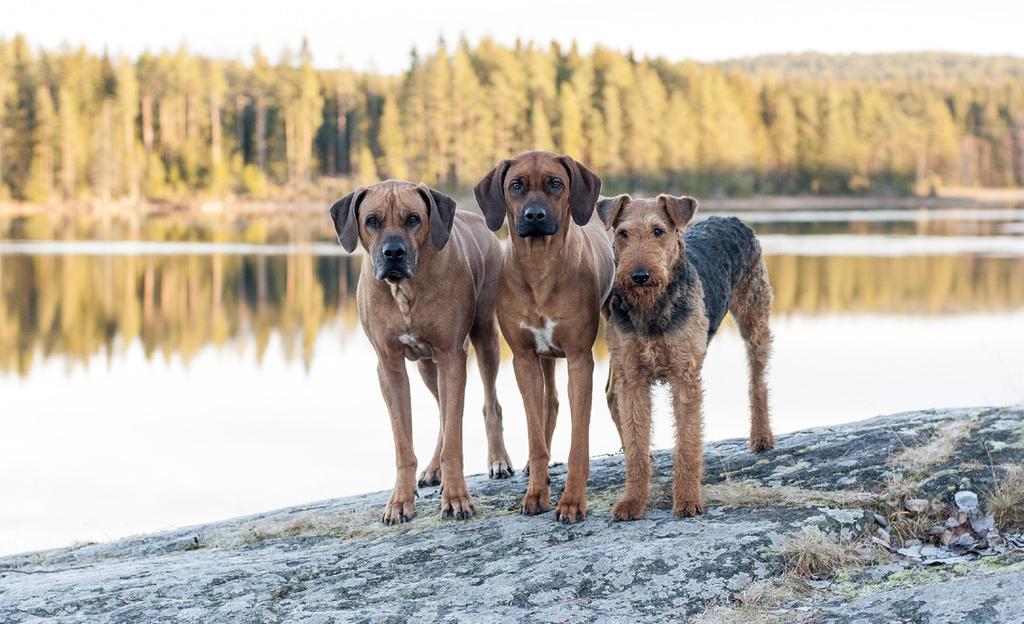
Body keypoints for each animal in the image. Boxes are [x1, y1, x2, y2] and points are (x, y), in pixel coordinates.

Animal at [331, 181, 516, 524]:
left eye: (413, 218)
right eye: (372, 220)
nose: (393, 252)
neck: (404, 290)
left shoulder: (451, 355)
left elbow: (455, 439)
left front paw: (456, 498)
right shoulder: (389, 366)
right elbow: (404, 442)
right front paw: (400, 501)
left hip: (485, 336)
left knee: (489, 404)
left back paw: (498, 460)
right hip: (427, 366)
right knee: (443, 411)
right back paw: (433, 469)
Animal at [473, 149, 610, 520]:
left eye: (555, 183)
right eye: (516, 185)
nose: (534, 216)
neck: (540, 266)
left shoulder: (580, 360)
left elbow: (579, 441)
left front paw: (573, 500)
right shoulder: (523, 359)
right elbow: (535, 436)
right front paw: (536, 492)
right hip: (545, 357)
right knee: (551, 404)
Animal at [598, 192, 770, 518]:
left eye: (658, 231)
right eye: (623, 233)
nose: (639, 276)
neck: (651, 309)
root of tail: (731, 218)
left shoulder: (684, 375)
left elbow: (688, 443)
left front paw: (688, 500)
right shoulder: (633, 378)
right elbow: (636, 445)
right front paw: (632, 502)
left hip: (755, 324)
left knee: (758, 383)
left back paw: (762, 438)